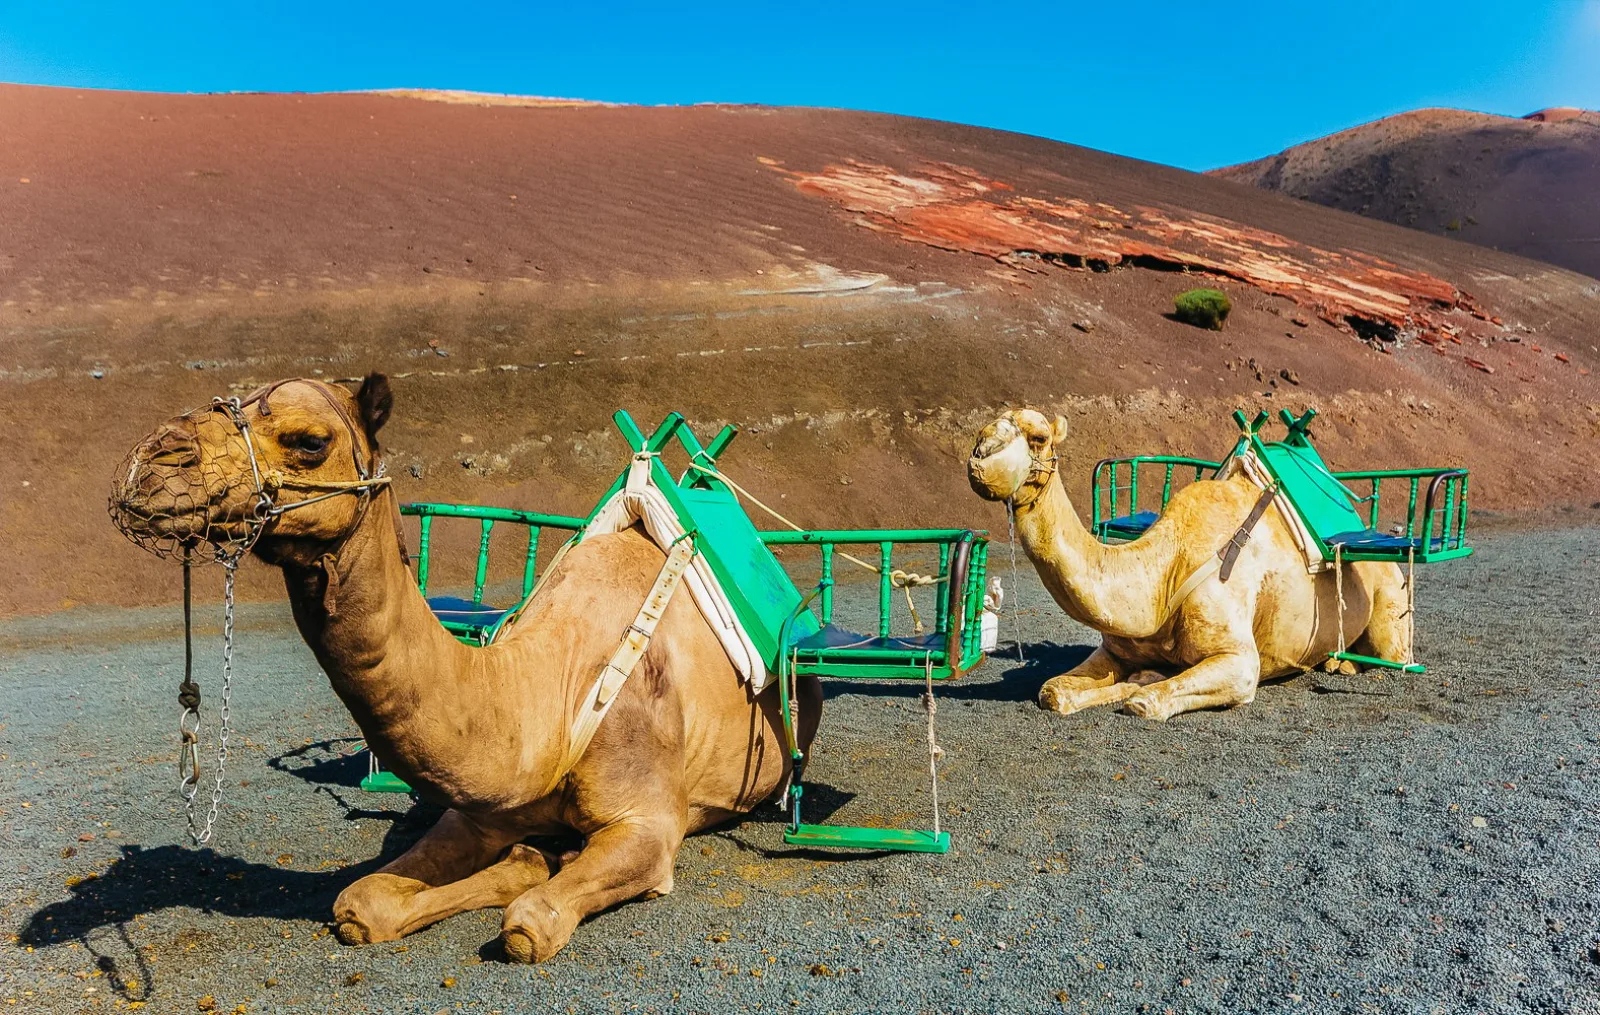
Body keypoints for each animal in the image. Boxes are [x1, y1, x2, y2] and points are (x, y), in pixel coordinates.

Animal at [109, 374, 822, 961]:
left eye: (309, 441)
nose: (151, 461)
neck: (553, 692)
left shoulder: (650, 826)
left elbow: (530, 925)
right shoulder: (478, 813)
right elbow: (360, 903)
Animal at [966, 409, 1410, 721]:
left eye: (1039, 437)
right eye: (982, 429)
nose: (979, 460)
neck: (1165, 575)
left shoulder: (1240, 661)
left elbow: (1145, 701)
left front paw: (1142, 684)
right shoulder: (1116, 647)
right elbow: (1052, 691)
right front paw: (1135, 678)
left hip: (1390, 603)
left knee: (1390, 650)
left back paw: (1344, 663)